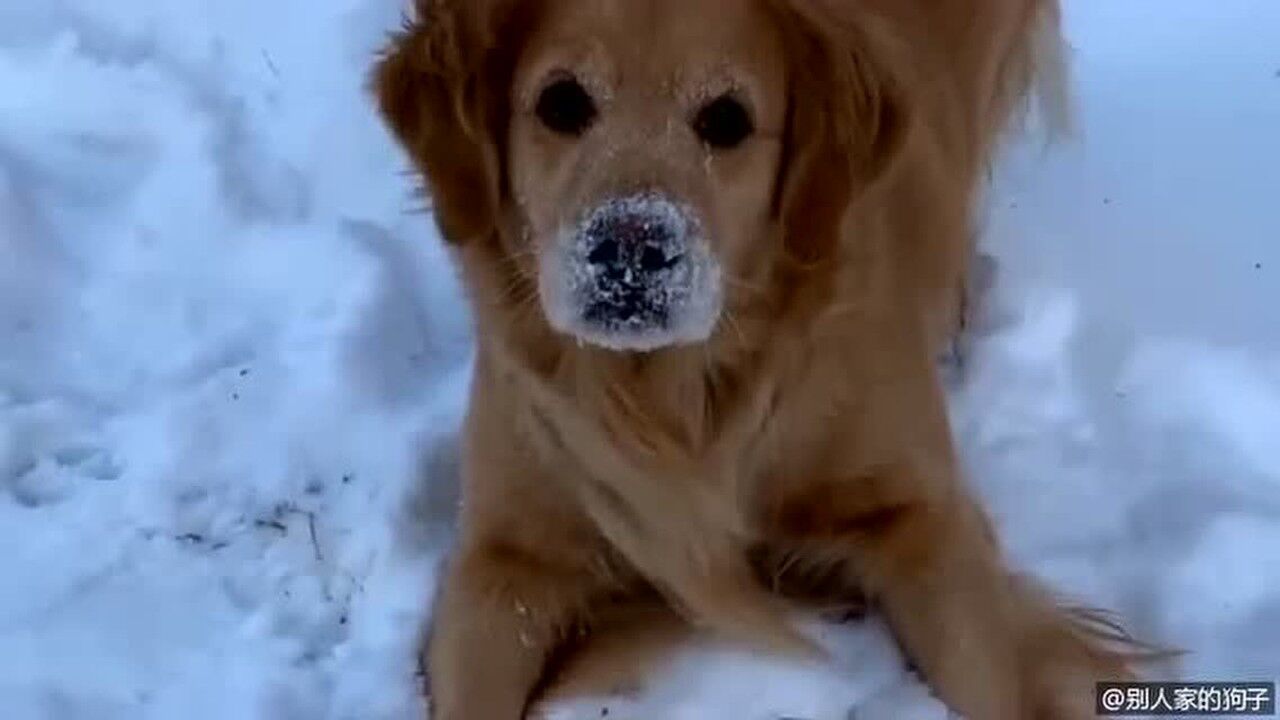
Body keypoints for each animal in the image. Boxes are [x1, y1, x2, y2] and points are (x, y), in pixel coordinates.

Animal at [373, 1, 1157, 712]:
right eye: (561, 102)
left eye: (727, 120)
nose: (630, 250)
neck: (678, 399)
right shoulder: (502, 559)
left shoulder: (922, 515)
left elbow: (985, 674)